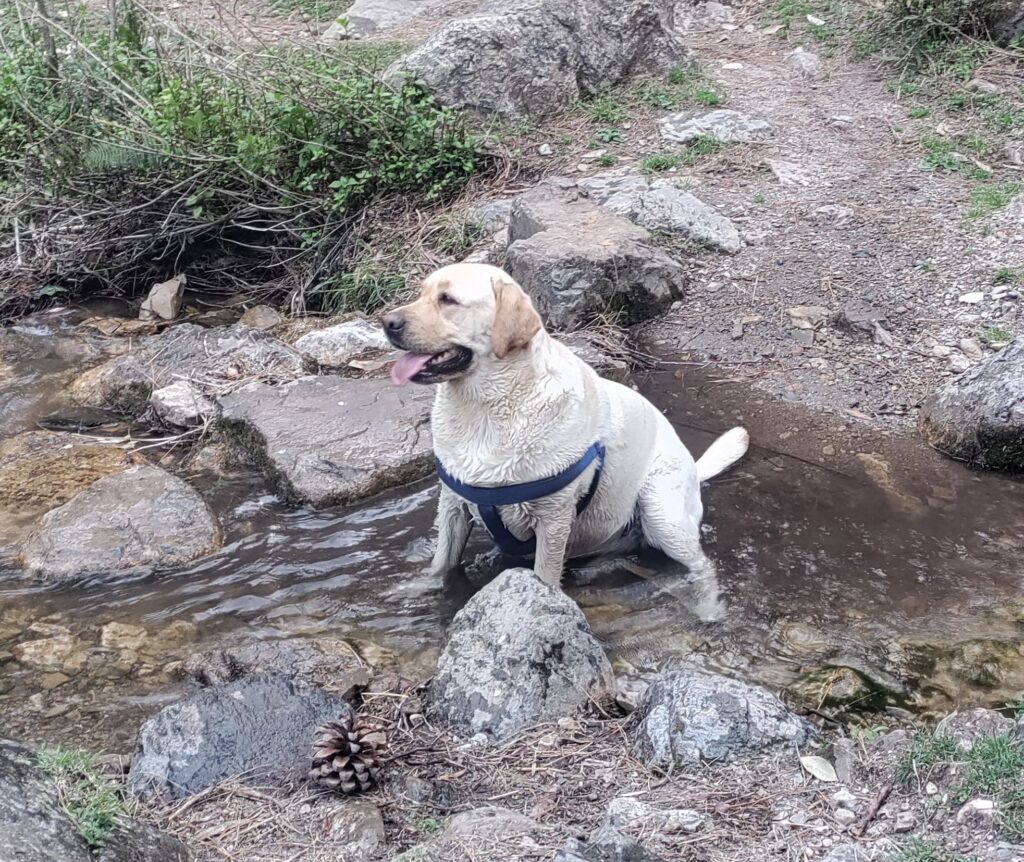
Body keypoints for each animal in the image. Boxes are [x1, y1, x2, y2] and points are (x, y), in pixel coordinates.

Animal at [380, 260, 749, 589]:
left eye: (448, 300)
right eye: (421, 293)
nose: (387, 321)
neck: (484, 410)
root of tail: (694, 469)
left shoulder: (553, 518)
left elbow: (544, 577)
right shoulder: (452, 506)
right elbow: (442, 564)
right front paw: (419, 589)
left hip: (661, 509)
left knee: (702, 565)